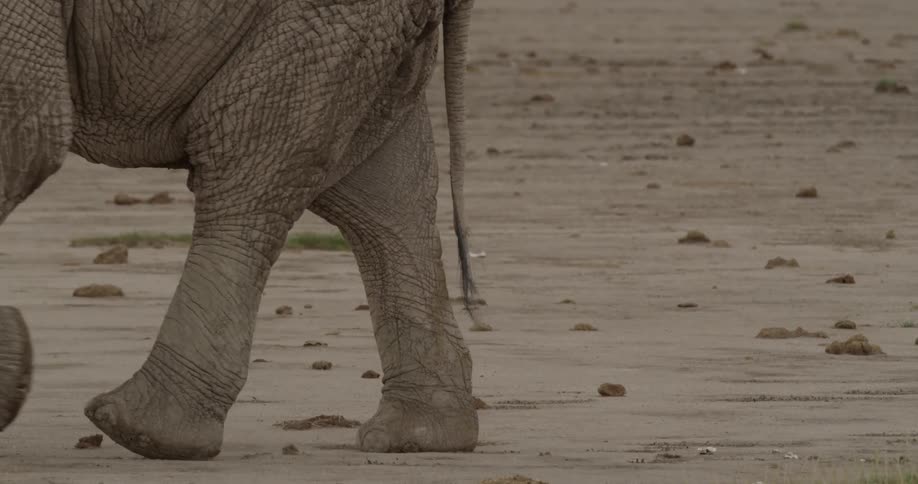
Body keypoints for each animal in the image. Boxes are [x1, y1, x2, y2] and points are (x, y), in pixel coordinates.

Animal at [0, 0, 485, 460]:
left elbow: (30, 137)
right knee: (381, 197)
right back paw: (418, 437)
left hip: (319, 27)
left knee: (246, 173)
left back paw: (142, 431)